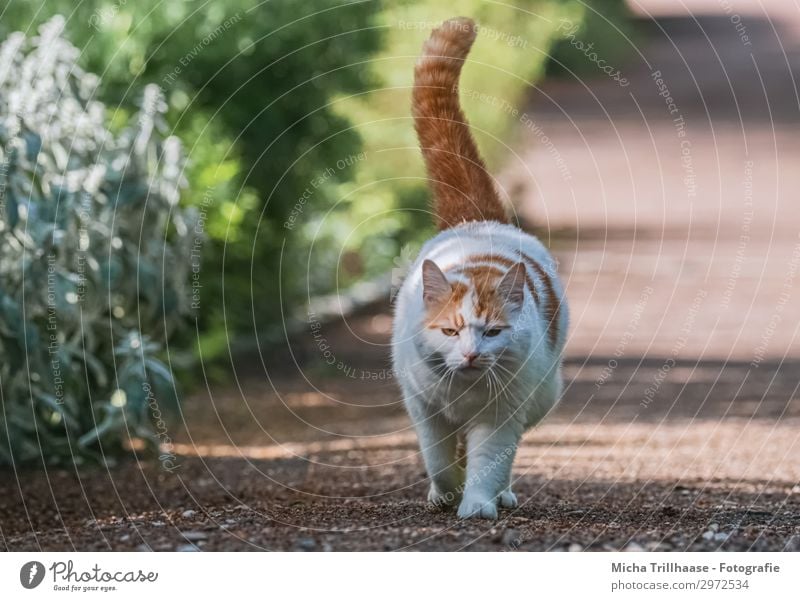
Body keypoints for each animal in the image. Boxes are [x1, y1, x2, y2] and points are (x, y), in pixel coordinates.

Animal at [392, 16, 568, 516]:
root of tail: (477, 219)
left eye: (492, 332)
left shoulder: (501, 418)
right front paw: (445, 492)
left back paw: (503, 494)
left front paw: (476, 504)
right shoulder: (425, 411)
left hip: (543, 394)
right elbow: (438, 460)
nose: (471, 355)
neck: (465, 394)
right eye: (451, 331)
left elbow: (488, 461)